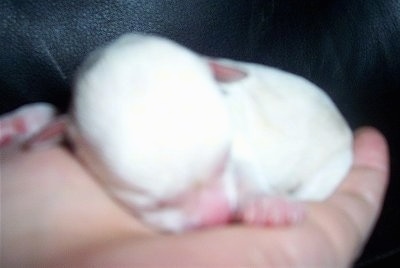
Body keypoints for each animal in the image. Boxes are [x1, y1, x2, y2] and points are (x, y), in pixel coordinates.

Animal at [0, 33, 350, 232]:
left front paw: (267, 205)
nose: (220, 217)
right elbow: (53, 116)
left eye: (224, 163)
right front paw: (16, 124)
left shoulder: (238, 146)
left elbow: (248, 174)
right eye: (154, 204)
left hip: (330, 167)